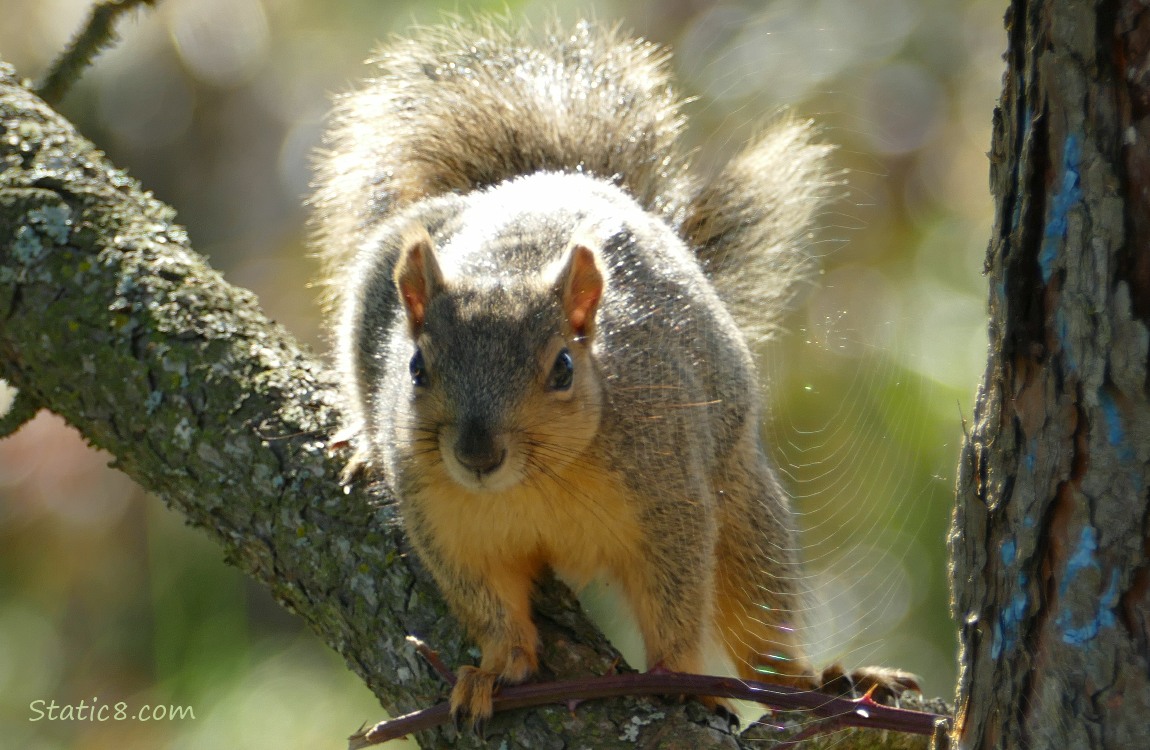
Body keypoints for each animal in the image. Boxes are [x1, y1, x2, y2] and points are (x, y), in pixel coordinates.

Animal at [312, 19, 915, 724]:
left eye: (563, 368)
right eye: (414, 366)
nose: (477, 456)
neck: (532, 483)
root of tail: (542, 178)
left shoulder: (667, 492)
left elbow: (677, 594)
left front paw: (678, 675)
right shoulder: (444, 523)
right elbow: (488, 607)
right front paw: (495, 671)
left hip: (743, 500)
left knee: (758, 614)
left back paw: (811, 682)